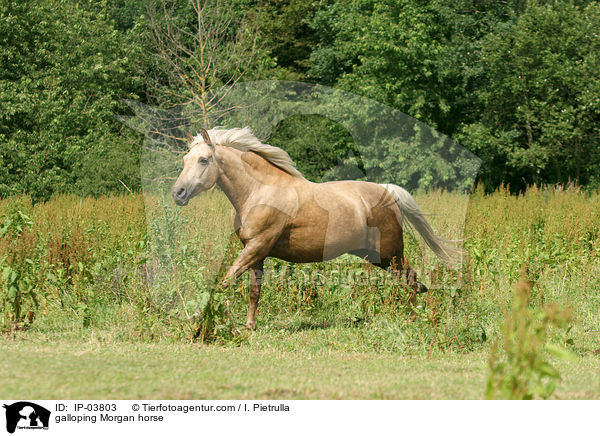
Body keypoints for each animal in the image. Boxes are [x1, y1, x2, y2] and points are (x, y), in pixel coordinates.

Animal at [173, 126, 460, 328]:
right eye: (185, 159)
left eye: (203, 160)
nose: (178, 193)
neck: (259, 191)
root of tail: (387, 192)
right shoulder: (256, 253)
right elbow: (254, 292)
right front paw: (250, 326)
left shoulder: (257, 247)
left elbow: (224, 281)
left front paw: (197, 315)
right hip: (376, 256)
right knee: (410, 279)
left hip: (390, 252)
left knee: (409, 278)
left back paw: (412, 316)